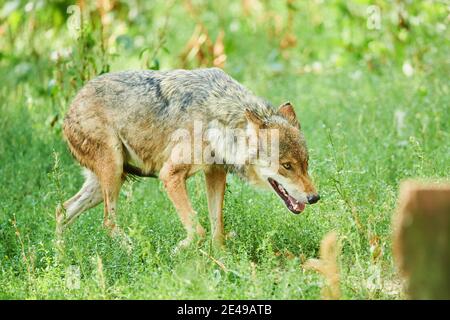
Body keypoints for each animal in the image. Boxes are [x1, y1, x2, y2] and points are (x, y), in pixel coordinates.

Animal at [57, 67, 320, 248]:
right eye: (287, 166)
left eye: (305, 164)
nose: (315, 197)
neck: (219, 118)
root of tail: (70, 107)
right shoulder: (170, 175)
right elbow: (198, 230)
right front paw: (181, 248)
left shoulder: (215, 173)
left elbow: (217, 228)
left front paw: (220, 259)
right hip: (112, 175)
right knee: (107, 222)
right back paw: (134, 249)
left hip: (109, 181)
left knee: (62, 211)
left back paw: (60, 260)